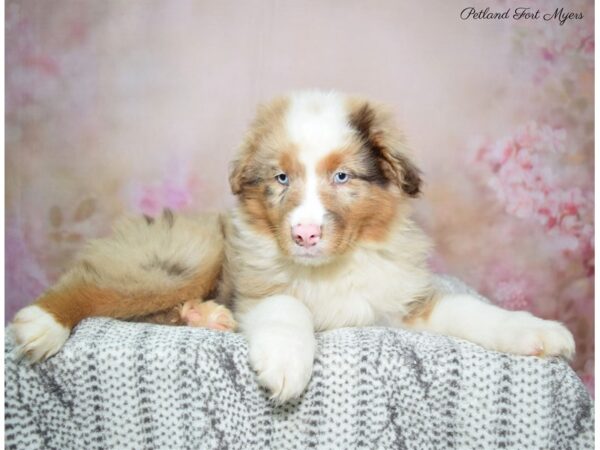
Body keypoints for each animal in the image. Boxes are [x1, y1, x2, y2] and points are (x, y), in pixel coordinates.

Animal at [8, 89, 572, 402]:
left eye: (342, 176)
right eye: (281, 178)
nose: (303, 235)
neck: (333, 266)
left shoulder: (403, 301)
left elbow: (474, 311)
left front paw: (541, 333)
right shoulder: (260, 286)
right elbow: (287, 308)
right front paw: (285, 363)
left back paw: (204, 317)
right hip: (187, 256)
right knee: (92, 285)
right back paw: (42, 323)